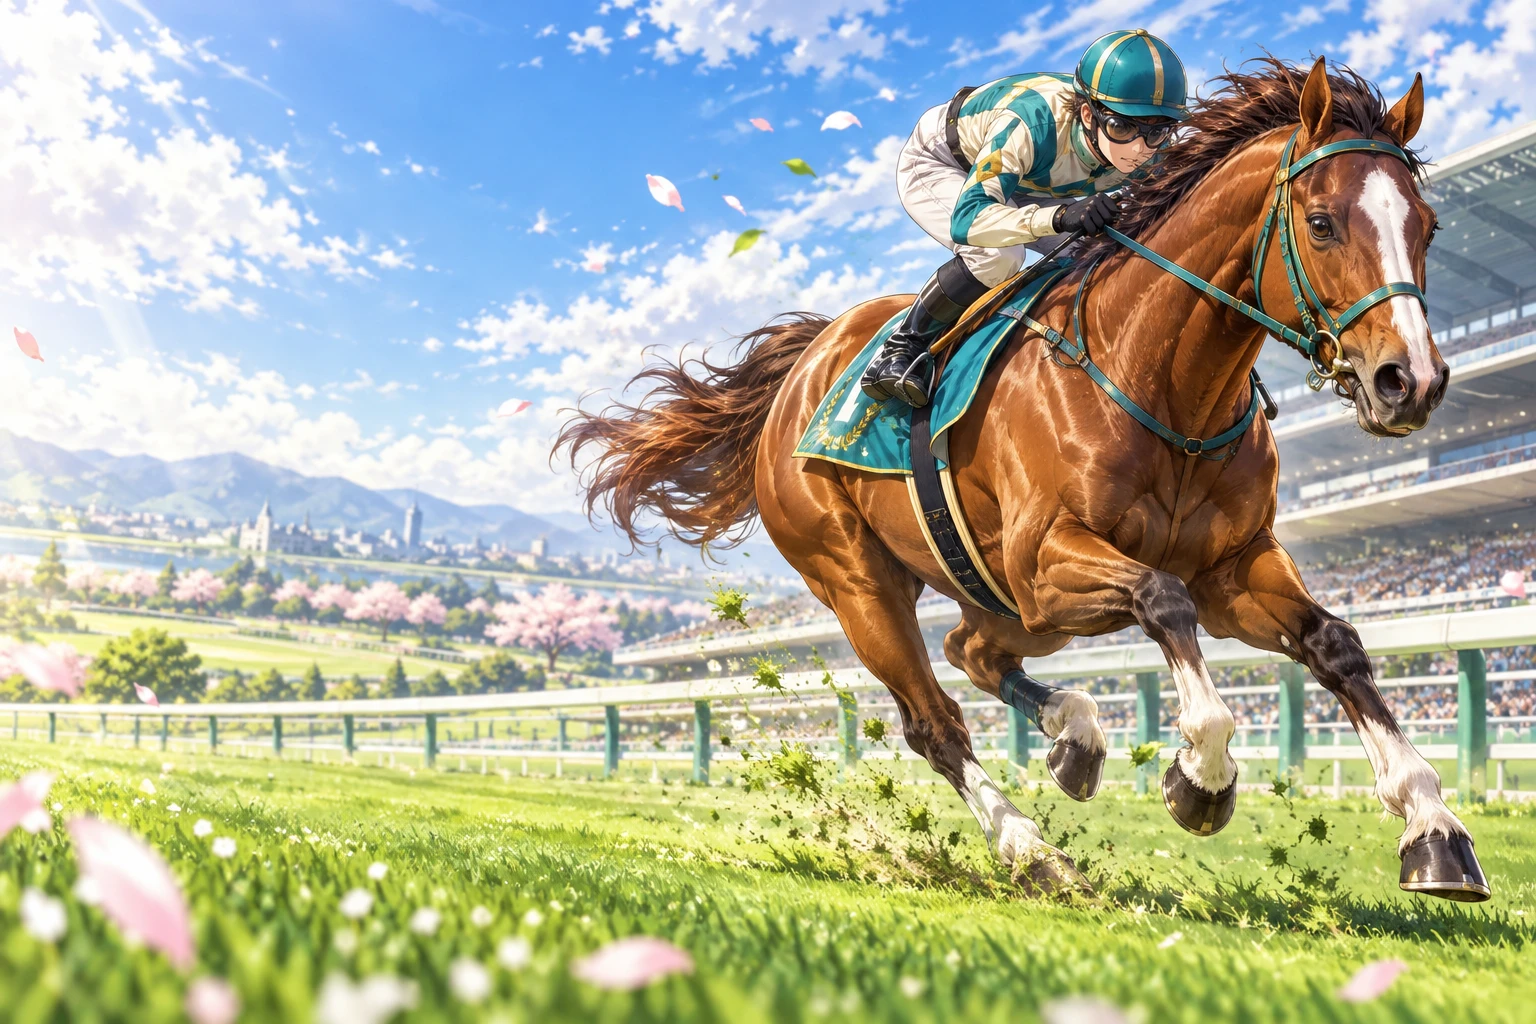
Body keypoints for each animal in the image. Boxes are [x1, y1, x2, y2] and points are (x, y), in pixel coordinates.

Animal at [557, 57, 1489, 902]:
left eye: (1428, 226)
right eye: (1324, 222)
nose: (1409, 381)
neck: (1164, 382)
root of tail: (801, 370)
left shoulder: (1232, 568)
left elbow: (1335, 642)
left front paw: (1435, 829)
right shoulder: (1047, 561)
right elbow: (1163, 601)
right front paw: (1199, 778)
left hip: (1004, 600)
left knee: (970, 650)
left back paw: (1074, 735)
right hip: (860, 580)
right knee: (933, 721)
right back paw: (1033, 852)